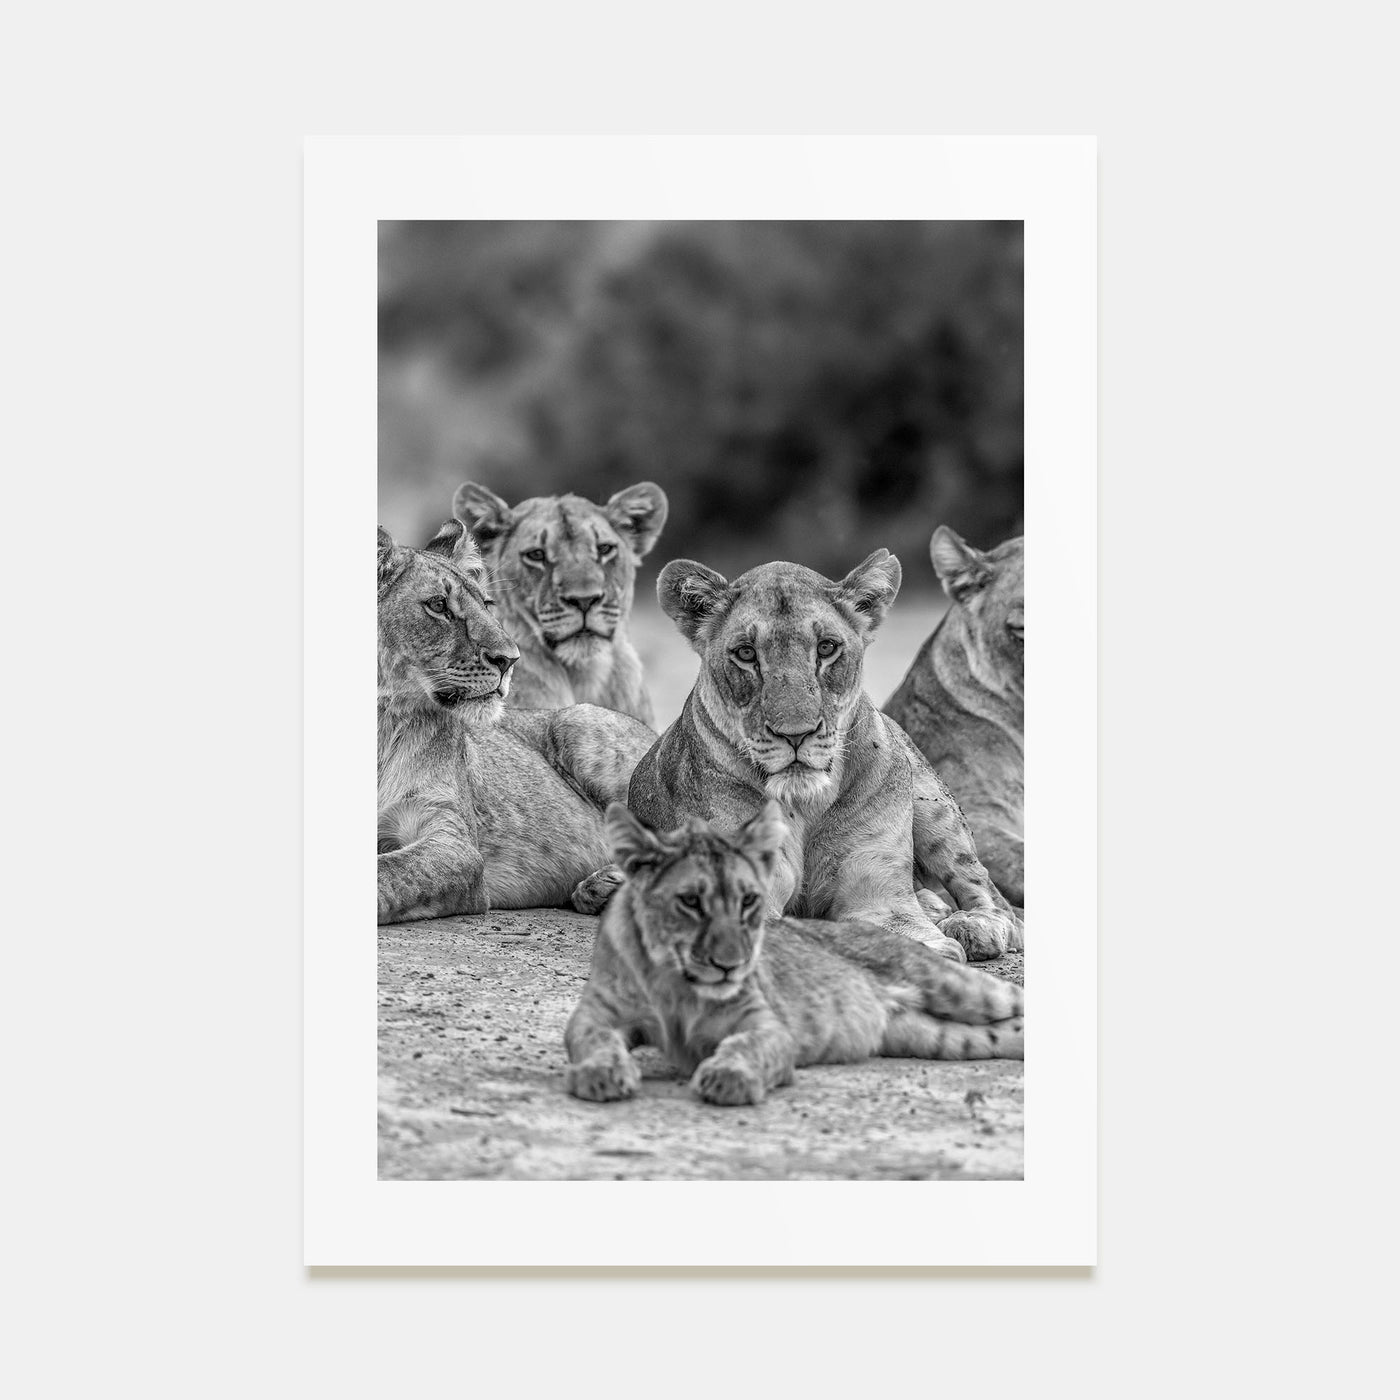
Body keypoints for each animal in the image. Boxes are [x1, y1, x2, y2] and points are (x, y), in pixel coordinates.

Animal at [377, 520, 656, 924]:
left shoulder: (455, 844)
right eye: (438, 606)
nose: (510, 660)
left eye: (487, 605)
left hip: (577, 720)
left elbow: (387, 872)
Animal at [565, 802, 1024, 1106]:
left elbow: (748, 1047)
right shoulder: (595, 1016)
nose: (731, 963)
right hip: (932, 1036)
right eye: (691, 901)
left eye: (749, 900)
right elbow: (593, 1040)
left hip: (957, 985)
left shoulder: (768, 1025)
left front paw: (728, 1078)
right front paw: (602, 1074)